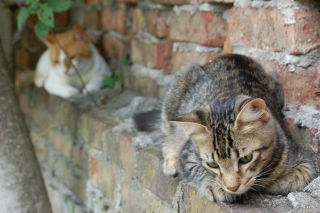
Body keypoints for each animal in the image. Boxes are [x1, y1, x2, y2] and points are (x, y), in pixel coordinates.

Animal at [134, 54, 316, 202]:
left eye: (246, 159)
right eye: (213, 164)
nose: (232, 187)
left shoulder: (303, 159)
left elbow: (298, 177)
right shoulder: (188, 155)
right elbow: (195, 169)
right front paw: (216, 186)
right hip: (179, 90)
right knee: (168, 129)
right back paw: (170, 159)